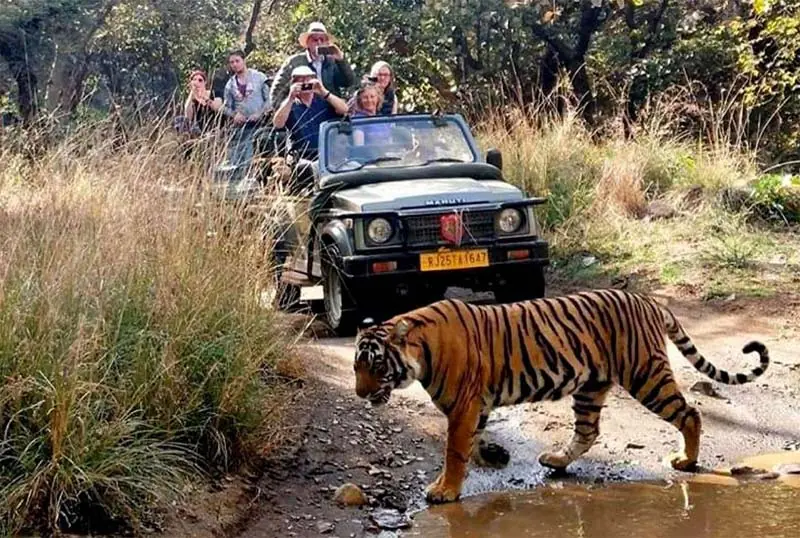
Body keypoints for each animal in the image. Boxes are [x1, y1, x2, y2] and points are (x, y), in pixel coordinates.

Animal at [353, 288, 770, 504]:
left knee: (690, 413)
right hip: (591, 387)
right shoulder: (476, 406)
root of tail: (648, 300)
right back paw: (555, 460)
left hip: (645, 375)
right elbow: (471, 442)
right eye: (356, 368)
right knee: (588, 432)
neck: (420, 353)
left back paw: (687, 460)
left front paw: (445, 490)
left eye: (376, 365)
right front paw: (491, 457)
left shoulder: (464, 405)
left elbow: (455, 450)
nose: (360, 393)